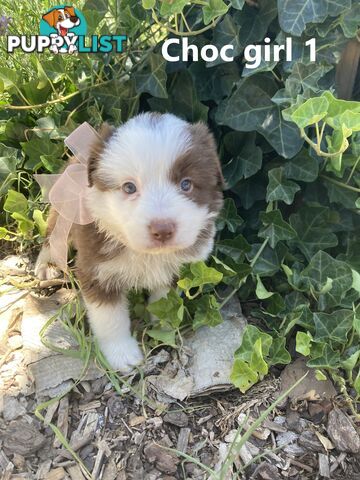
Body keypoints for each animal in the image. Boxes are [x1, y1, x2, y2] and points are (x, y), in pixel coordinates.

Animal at [35, 114, 224, 374]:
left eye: (186, 184)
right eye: (129, 187)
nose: (162, 229)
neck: (144, 253)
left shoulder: (175, 269)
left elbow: (165, 300)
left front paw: (163, 327)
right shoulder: (97, 270)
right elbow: (110, 318)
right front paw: (122, 355)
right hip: (64, 207)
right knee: (53, 234)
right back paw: (47, 265)